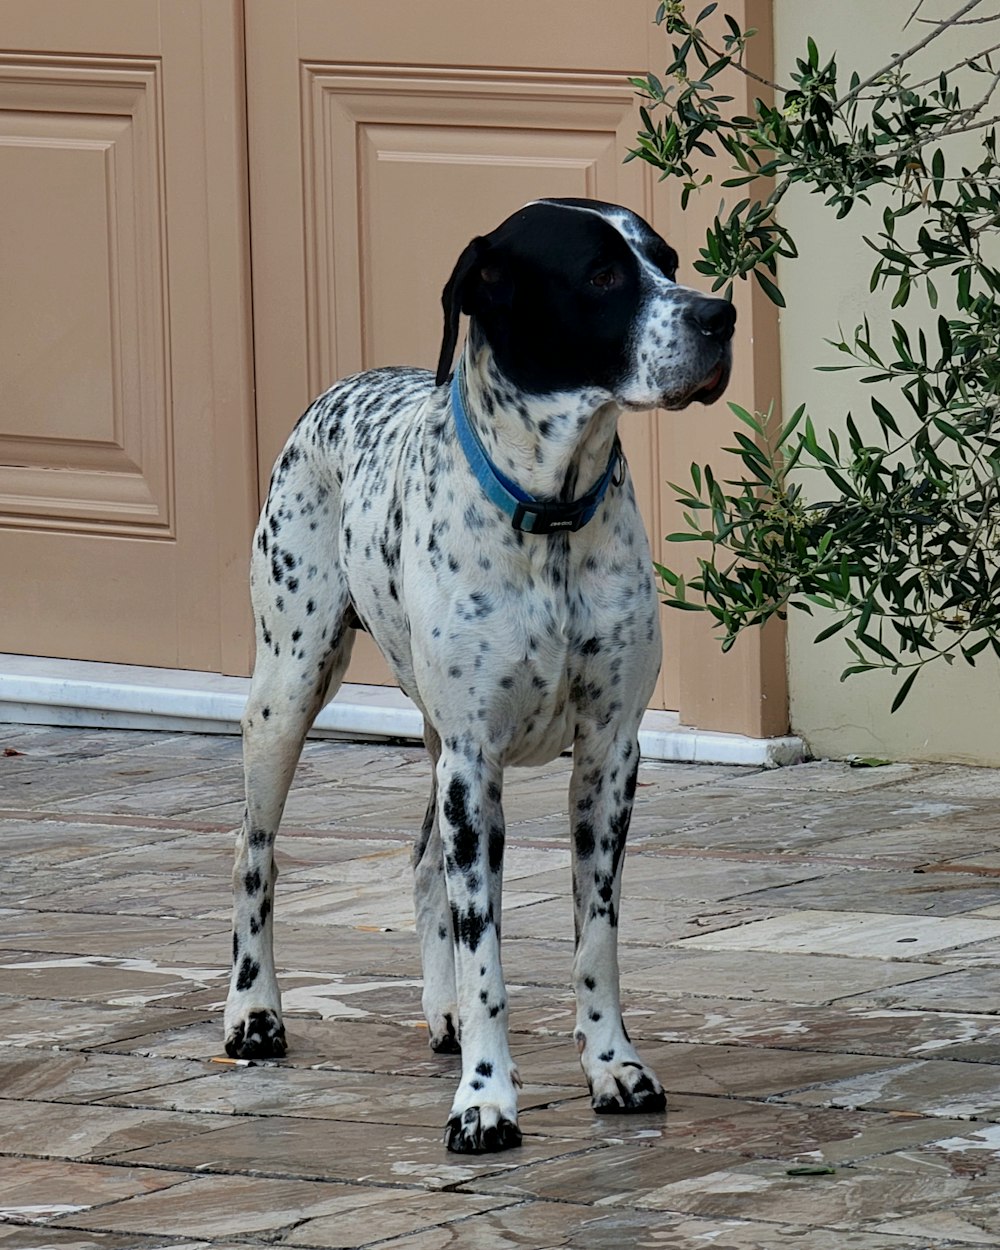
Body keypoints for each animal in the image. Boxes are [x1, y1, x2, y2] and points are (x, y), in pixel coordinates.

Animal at [222, 192, 730, 1150]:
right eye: (601, 275)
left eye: (670, 260)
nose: (719, 318)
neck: (552, 517)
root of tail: (337, 391)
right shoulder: (474, 762)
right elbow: (486, 949)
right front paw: (486, 1098)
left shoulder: (609, 755)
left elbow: (594, 940)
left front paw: (614, 1067)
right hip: (288, 691)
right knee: (254, 855)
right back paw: (253, 1013)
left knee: (424, 865)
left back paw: (443, 1011)